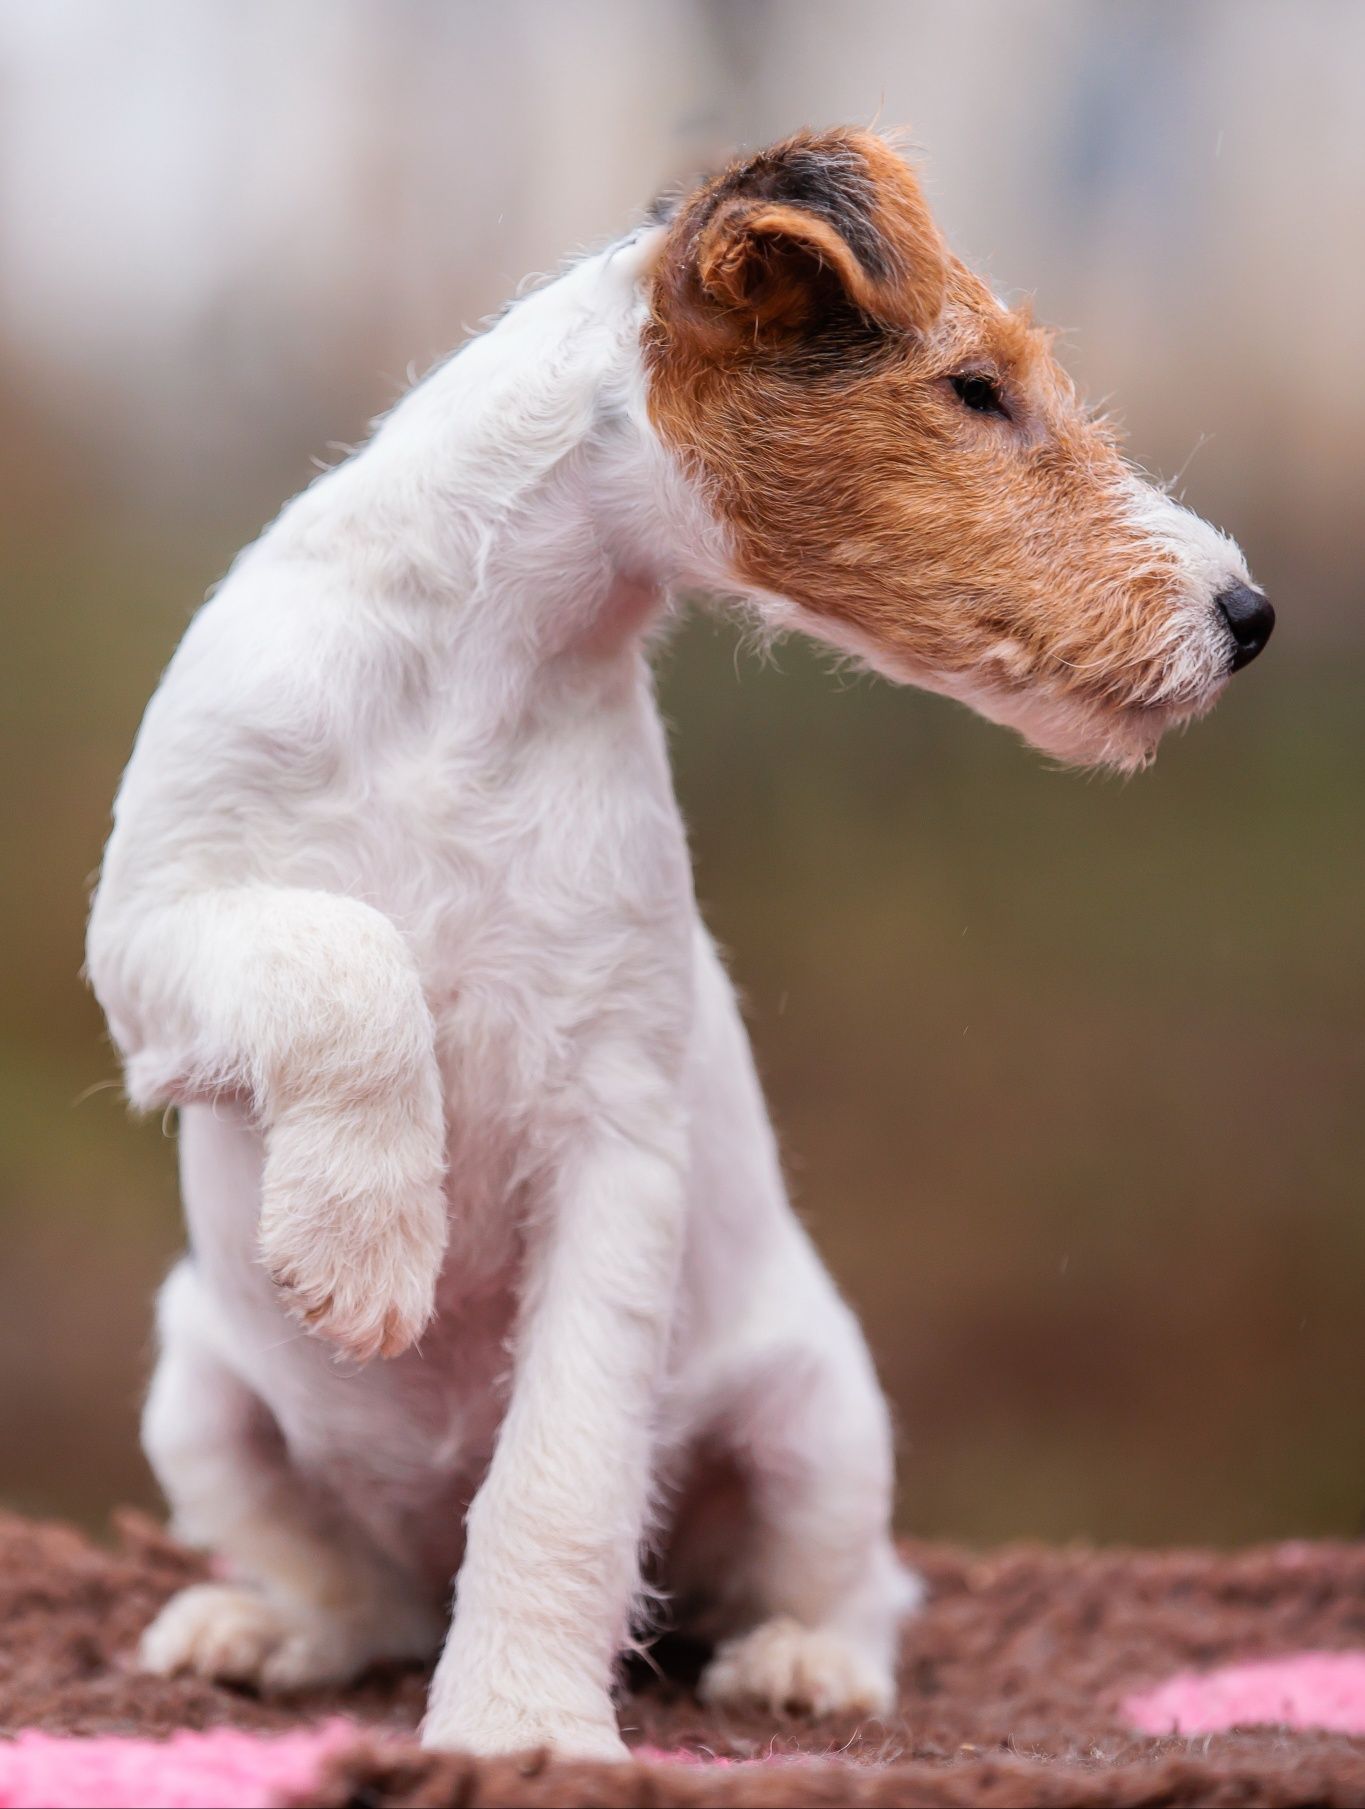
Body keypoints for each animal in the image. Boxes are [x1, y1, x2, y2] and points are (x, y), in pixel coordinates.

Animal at [90, 131, 1272, 1765]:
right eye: (977, 389)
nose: (1249, 612)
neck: (480, 677)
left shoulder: (614, 1135)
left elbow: (561, 1479)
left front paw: (520, 1727)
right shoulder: (154, 934)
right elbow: (346, 953)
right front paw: (366, 1240)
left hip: (821, 1423)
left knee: (856, 1586)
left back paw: (803, 1664)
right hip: (199, 1398)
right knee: (357, 1596)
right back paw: (260, 1628)